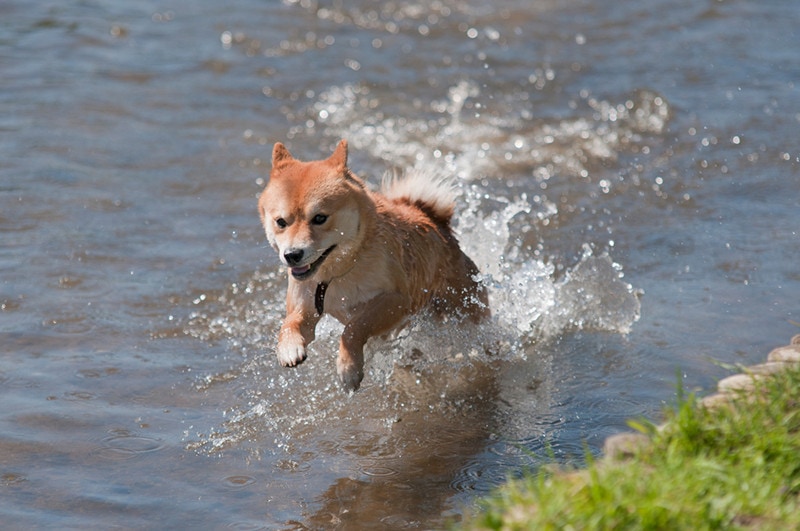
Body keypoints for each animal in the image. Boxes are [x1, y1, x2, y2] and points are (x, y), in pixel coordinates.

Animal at [260, 140, 490, 390]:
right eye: (281, 222)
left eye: (319, 218)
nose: (292, 255)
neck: (337, 274)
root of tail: (436, 221)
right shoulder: (306, 306)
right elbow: (289, 323)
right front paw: (288, 348)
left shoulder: (396, 300)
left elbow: (354, 327)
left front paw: (348, 368)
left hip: (465, 308)